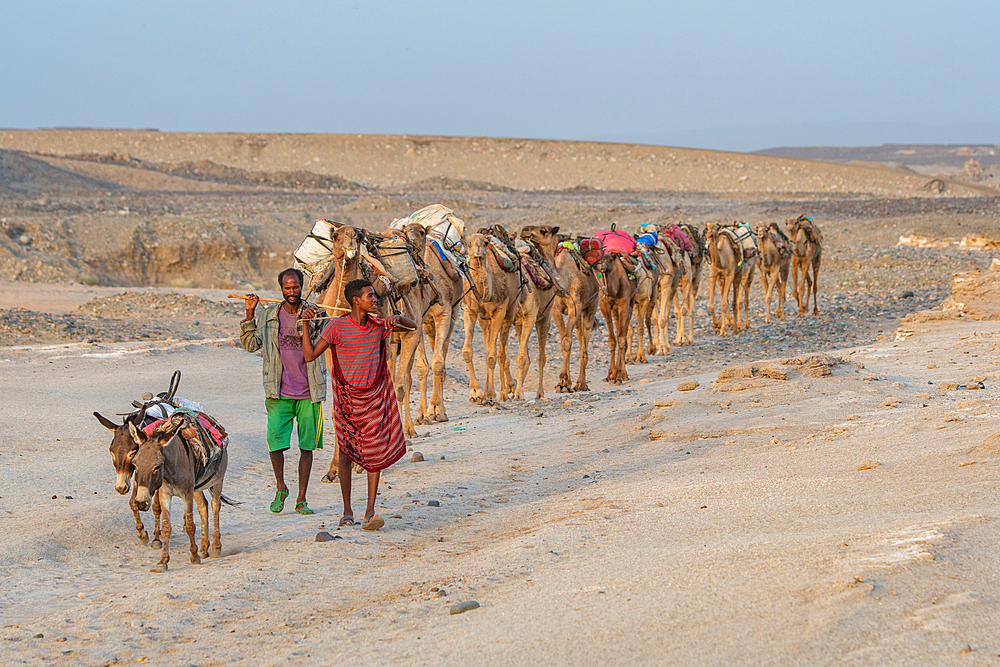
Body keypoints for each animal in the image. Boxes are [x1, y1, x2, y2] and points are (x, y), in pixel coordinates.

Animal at [460, 232, 524, 404]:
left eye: (485, 242)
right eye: (468, 242)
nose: (477, 248)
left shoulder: (500, 310)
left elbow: (493, 355)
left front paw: (489, 395)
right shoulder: (470, 310)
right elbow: (468, 351)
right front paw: (476, 392)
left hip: (510, 311)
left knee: (501, 353)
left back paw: (503, 393)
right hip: (484, 320)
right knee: (490, 345)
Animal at [520, 227, 596, 394]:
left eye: (543, 230)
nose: (524, 230)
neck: (564, 280)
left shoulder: (576, 306)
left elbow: (567, 341)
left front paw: (564, 381)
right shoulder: (555, 309)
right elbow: (563, 341)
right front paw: (564, 383)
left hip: (591, 306)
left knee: (584, 344)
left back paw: (582, 384)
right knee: (580, 337)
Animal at [596, 252, 636, 386]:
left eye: (611, 259)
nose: (601, 263)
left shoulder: (624, 304)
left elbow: (621, 339)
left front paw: (618, 376)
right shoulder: (604, 305)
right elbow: (612, 340)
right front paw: (609, 375)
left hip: (631, 302)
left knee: (624, 334)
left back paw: (624, 375)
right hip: (615, 311)